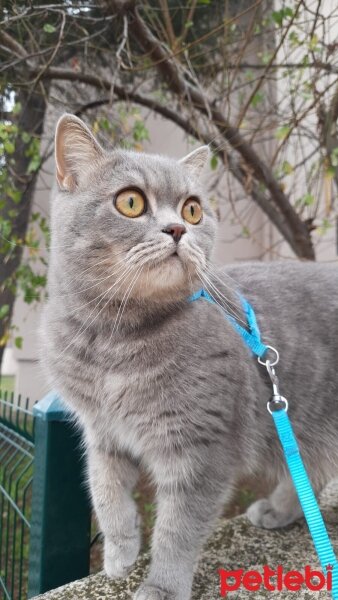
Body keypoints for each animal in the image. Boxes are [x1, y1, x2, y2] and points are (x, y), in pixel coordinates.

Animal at [41, 113, 338, 600]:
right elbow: (105, 492)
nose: (178, 229)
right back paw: (279, 511)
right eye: (130, 202)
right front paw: (119, 555)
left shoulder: (201, 448)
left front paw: (162, 586)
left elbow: (178, 527)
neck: (111, 342)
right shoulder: (100, 430)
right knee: (309, 470)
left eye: (193, 210)